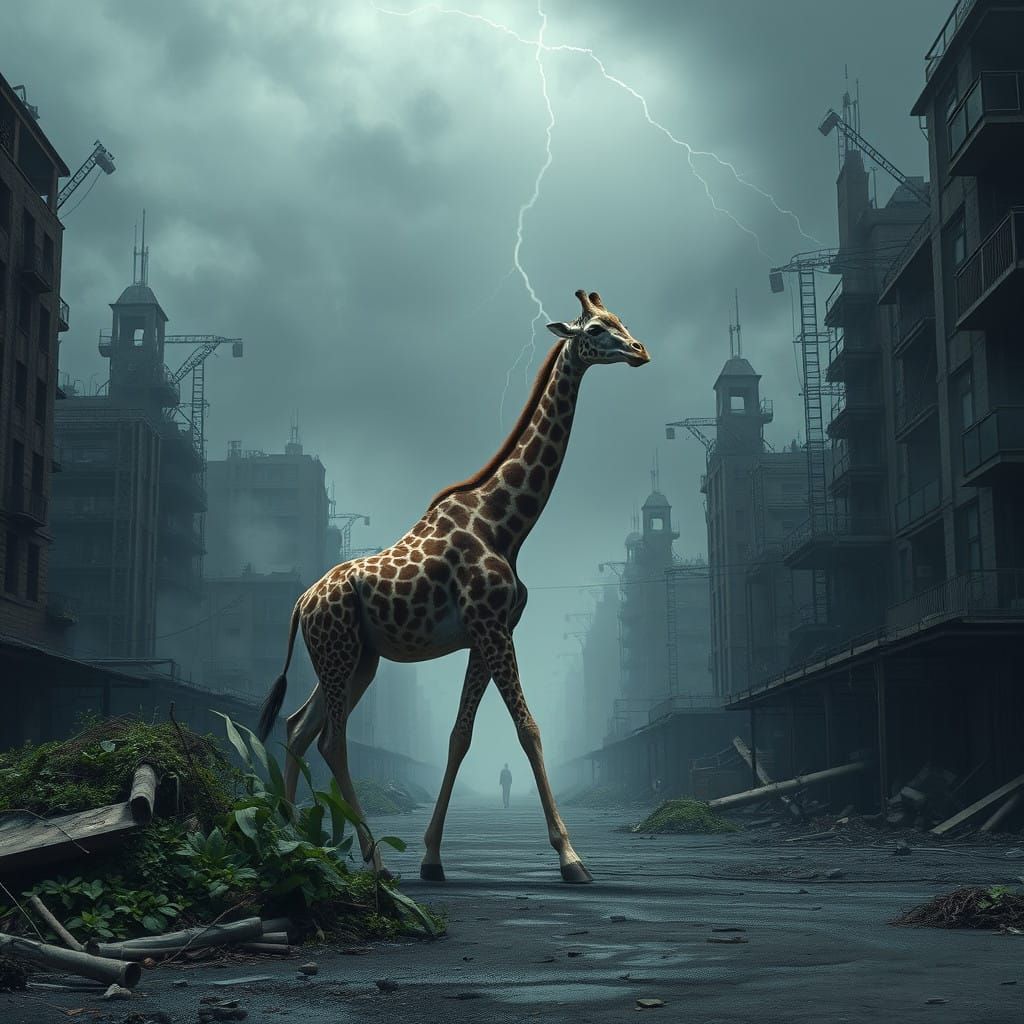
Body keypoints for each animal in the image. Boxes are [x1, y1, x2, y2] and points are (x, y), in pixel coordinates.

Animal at [256, 289, 650, 884]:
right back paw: (372, 861)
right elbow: (529, 729)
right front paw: (571, 858)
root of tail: (301, 602)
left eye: (620, 319)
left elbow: (460, 737)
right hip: (339, 651)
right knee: (332, 739)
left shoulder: (485, 635)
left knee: (300, 727)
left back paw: (293, 842)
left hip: (357, 659)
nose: (639, 351)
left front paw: (432, 858)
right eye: (597, 329)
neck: (505, 524)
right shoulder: (491, 628)